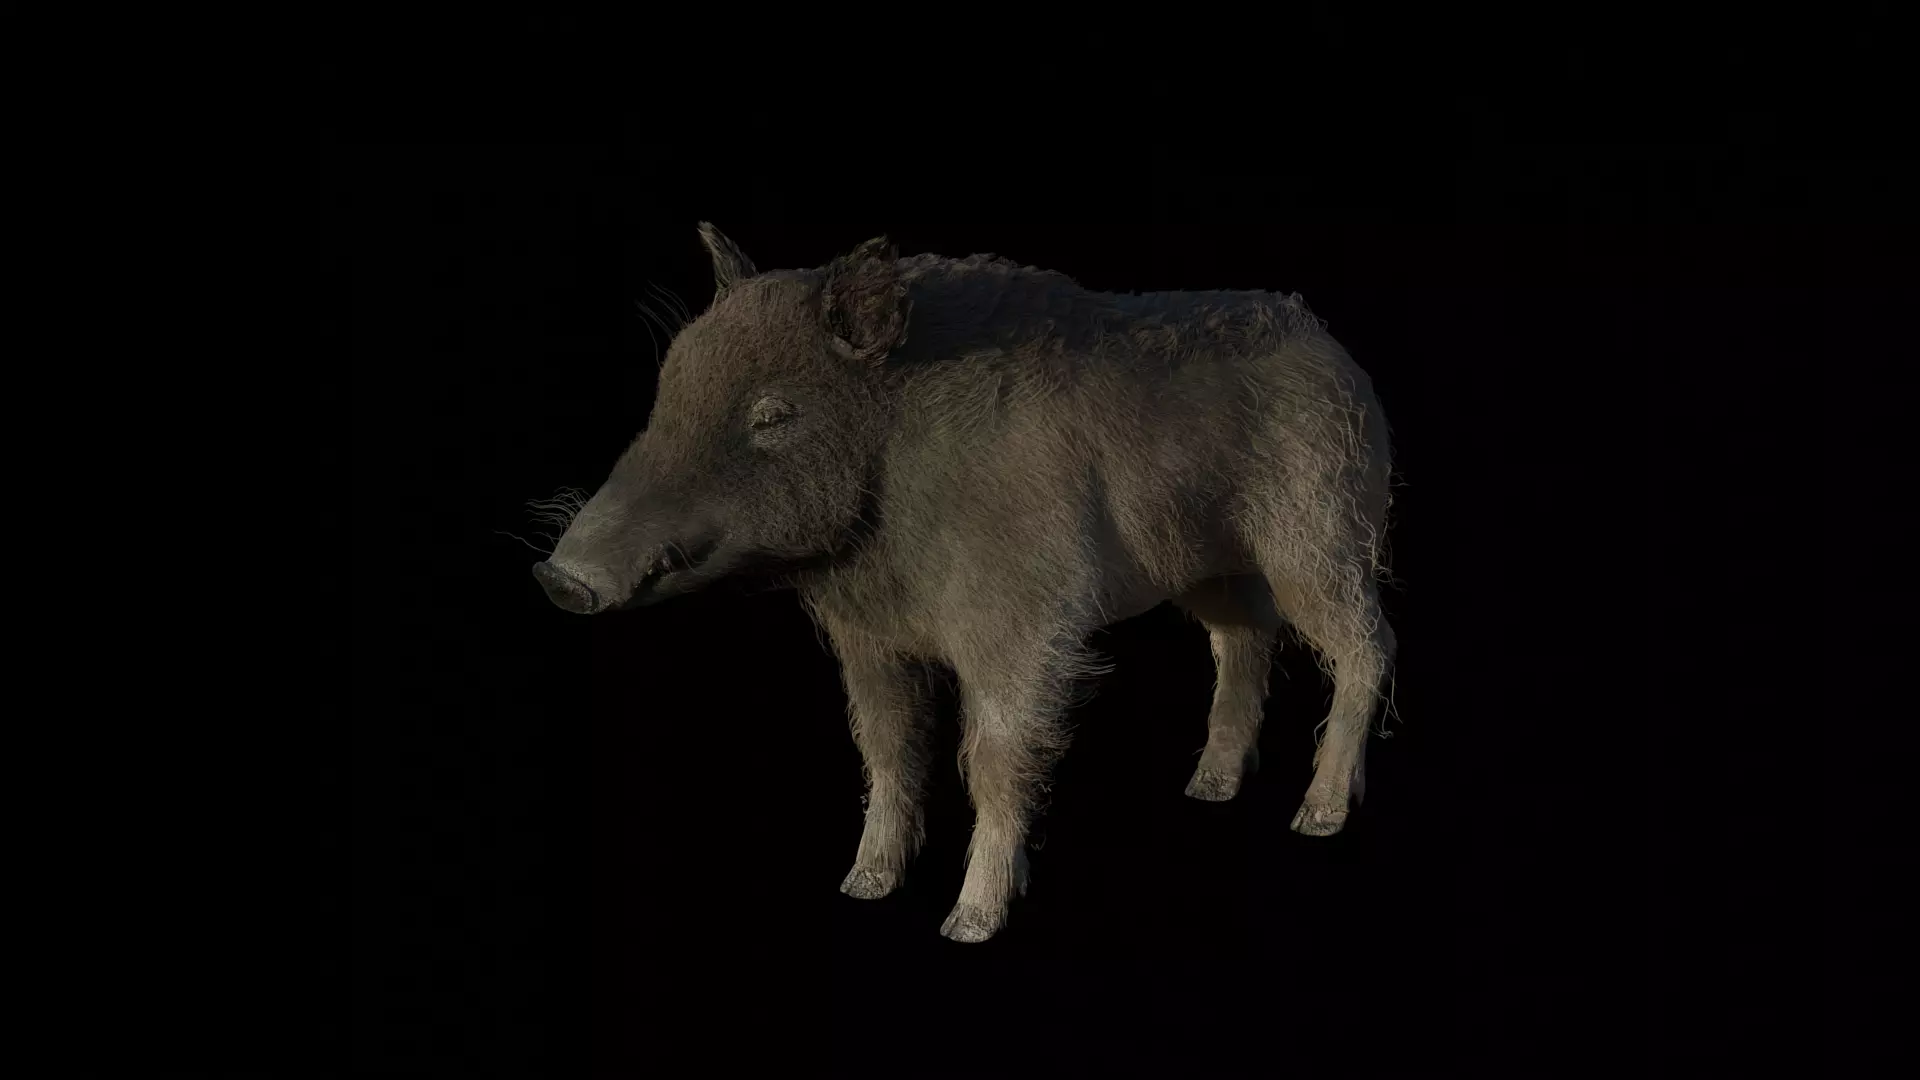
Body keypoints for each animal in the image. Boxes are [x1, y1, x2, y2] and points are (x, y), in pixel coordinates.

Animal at [532, 224, 1397, 943]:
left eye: (773, 415)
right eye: (668, 390)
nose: (560, 577)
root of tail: (1329, 345)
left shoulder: (1023, 628)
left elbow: (991, 756)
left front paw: (967, 925)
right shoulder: (869, 640)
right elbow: (888, 748)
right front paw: (861, 886)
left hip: (1320, 533)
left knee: (1365, 644)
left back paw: (1317, 818)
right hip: (1211, 564)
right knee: (1245, 636)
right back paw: (1207, 789)